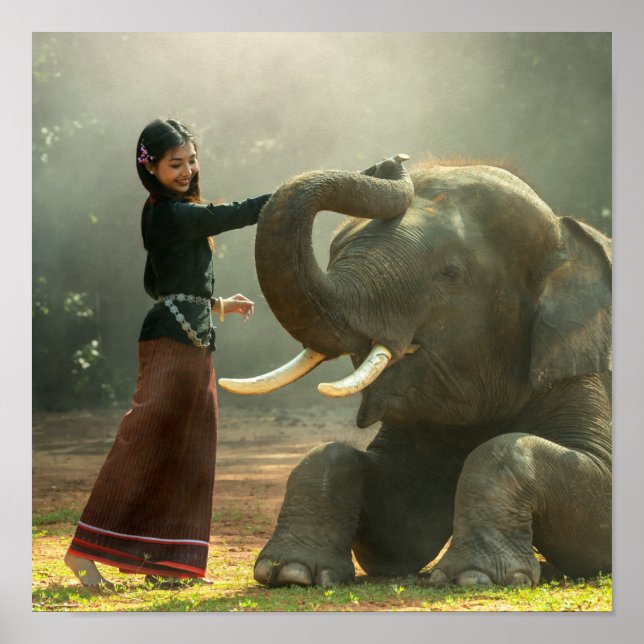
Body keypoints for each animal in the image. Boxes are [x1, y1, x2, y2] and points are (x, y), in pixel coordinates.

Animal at [219, 155, 612, 588]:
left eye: (451, 274)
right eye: (335, 251)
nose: (391, 161)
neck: (565, 237)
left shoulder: (578, 363)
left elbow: (598, 512)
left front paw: (474, 577)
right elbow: (400, 533)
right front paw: (291, 573)